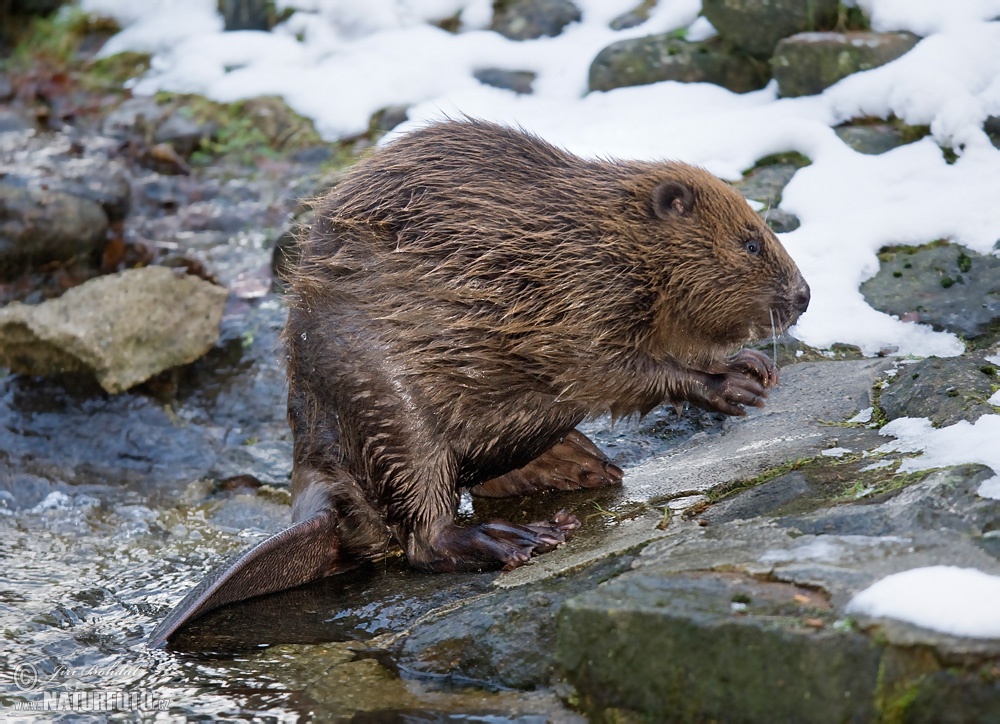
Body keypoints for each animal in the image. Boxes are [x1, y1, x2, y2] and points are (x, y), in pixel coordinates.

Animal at [148, 119, 808, 644]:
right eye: (751, 243)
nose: (804, 296)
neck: (603, 235)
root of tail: (318, 491)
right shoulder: (578, 299)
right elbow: (609, 367)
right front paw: (733, 384)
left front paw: (754, 363)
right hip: (386, 404)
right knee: (424, 532)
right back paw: (519, 538)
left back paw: (580, 466)